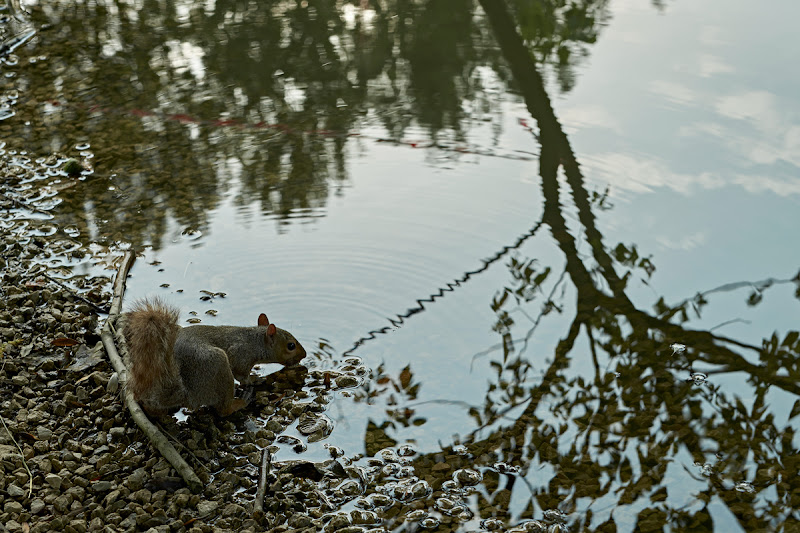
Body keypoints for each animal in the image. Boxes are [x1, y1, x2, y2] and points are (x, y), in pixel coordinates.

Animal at [122, 296, 306, 416]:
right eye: (291, 346)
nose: (304, 355)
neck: (254, 340)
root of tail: (189, 394)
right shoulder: (240, 353)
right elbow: (242, 374)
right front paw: (253, 379)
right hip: (219, 367)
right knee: (223, 410)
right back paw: (240, 402)